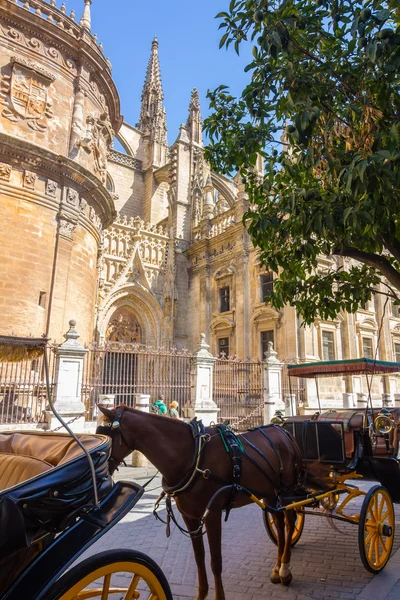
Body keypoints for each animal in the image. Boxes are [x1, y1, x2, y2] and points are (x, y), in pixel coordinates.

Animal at [97, 408, 312, 600]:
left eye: (105, 436)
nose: (101, 473)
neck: (192, 456)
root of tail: (284, 432)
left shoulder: (213, 514)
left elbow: (216, 561)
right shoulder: (189, 516)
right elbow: (199, 558)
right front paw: (201, 594)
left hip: (287, 490)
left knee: (290, 520)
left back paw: (285, 569)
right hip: (269, 494)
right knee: (279, 522)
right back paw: (277, 568)